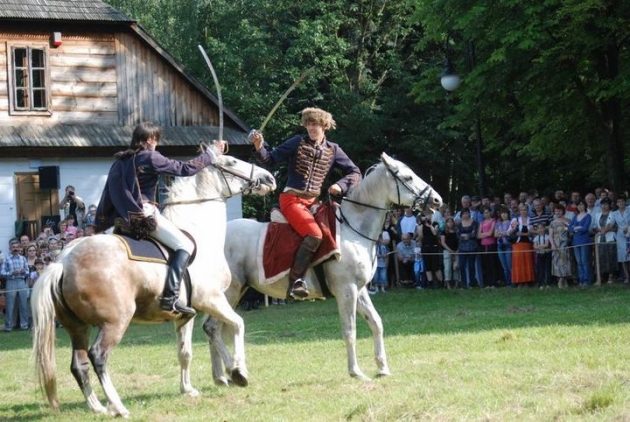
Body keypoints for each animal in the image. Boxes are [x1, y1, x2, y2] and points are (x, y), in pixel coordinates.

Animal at [30, 146, 276, 418]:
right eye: (231, 161)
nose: (268, 178)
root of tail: (63, 261)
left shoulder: (185, 314)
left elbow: (185, 352)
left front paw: (188, 389)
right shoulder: (212, 299)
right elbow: (237, 324)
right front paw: (238, 372)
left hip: (77, 327)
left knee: (79, 364)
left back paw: (97, 407)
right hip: (114, 323)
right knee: (98, 357)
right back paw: (118, 406)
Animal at [207, 152, 444, 382]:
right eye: (408, 178)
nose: (437, 200)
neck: (353, 230)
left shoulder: (359, 290)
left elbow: (376, 323)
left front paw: (383, 368)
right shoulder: (346, 290)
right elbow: (350, 330)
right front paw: (356, 372)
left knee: (215, 328)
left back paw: (221, 377)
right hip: (230, 292)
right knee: (213, 328)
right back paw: (233, 371)